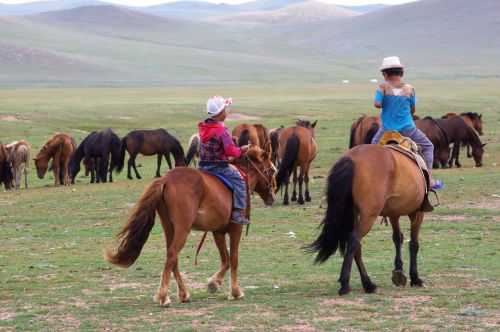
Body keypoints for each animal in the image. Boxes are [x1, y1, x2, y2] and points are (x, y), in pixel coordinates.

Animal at [106, 147, 278, 308]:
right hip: (183, 229)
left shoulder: (217, 231)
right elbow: (234, 258)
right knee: (172, 255)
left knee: (172, 257)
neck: (243, 175)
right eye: (271, 170)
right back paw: (163, 297)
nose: (272, 197)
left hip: (169, 227)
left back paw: (183, 294)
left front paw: (214, 283)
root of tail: (166, 179)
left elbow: (225, 259)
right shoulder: (236, 228)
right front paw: (235, 292)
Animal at [308, 145, 430, 296]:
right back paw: (345, 284)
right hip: (368, 216)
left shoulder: (393, 214)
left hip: (354, 214)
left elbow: (397, 238)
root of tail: (352, 159)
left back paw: (368, 284)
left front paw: (399, 272)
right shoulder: (417, 213)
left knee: (357, 246)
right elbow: (413, 244)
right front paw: (415, 278)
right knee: (353, 241)